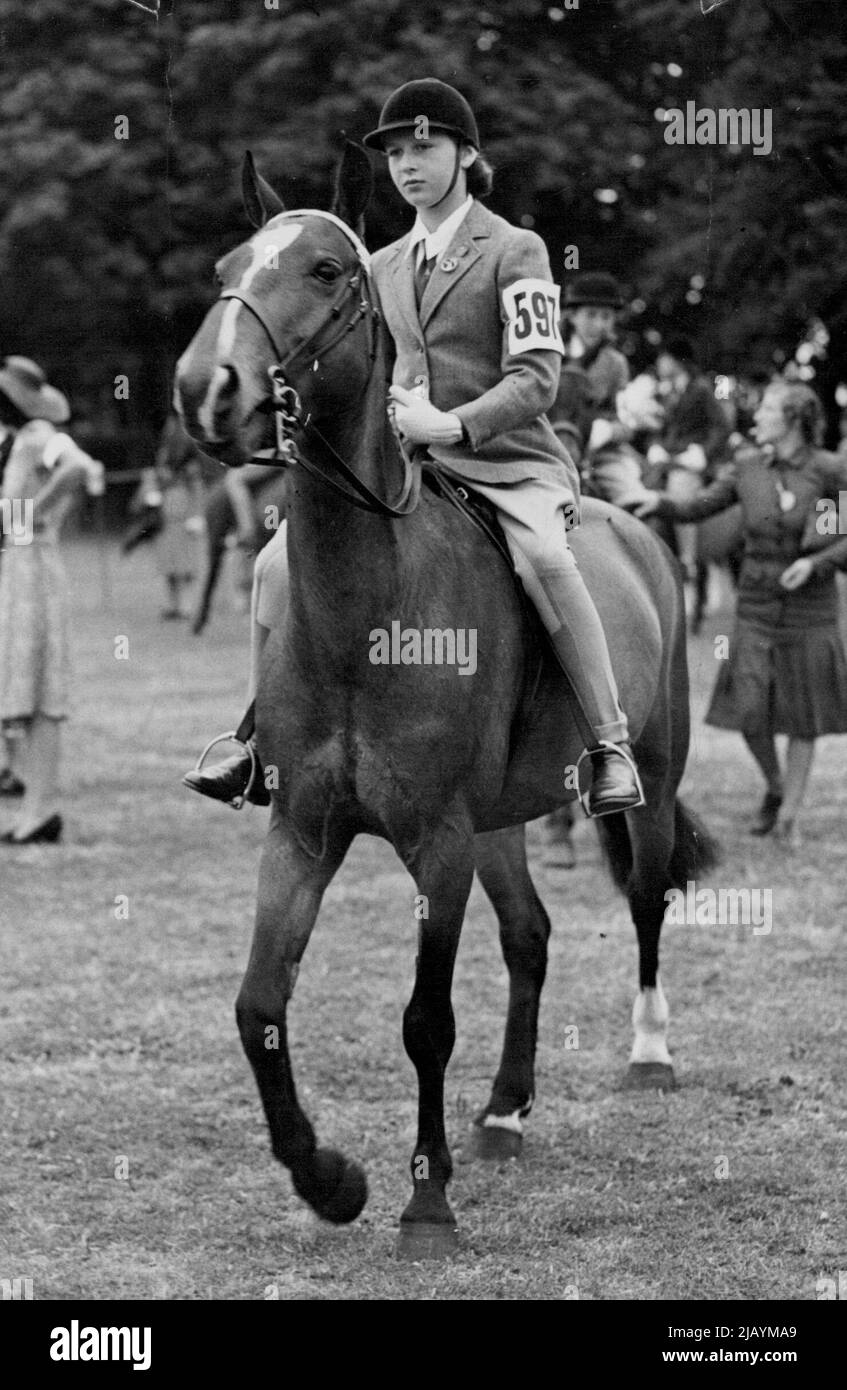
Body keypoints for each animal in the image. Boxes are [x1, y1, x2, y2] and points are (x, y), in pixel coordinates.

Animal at [175, 147, 718, 1258]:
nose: (205, 389)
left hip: (641, 779)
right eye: (227, 266)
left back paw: (648, 1053)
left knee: (646, 898)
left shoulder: (437, 845)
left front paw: (425, 1202)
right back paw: (505, 1110)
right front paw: (329, 1180)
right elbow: (257, 1005)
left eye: (327, 271)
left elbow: (425, 1021)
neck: (368, 609)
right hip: (502, 821)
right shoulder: (301, 833)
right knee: (530, 937)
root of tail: (633, 519)